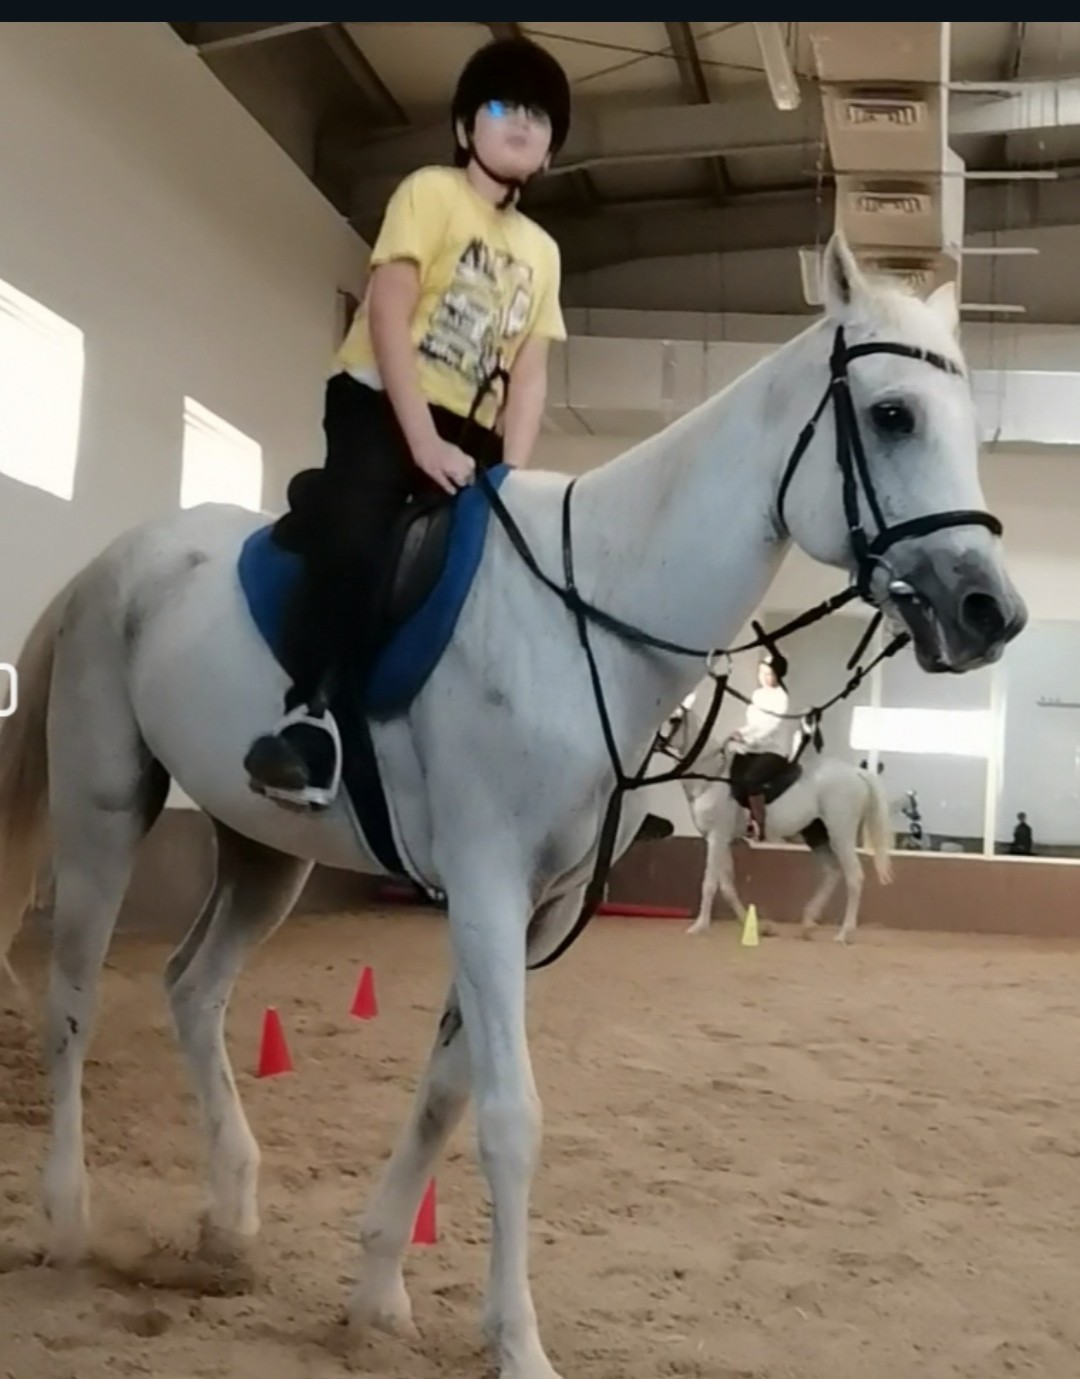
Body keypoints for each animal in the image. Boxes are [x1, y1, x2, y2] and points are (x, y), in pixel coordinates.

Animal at [661, 701, 894, 944]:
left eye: (674, 719)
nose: (657, 742)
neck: (710, 776)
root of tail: (857, 773)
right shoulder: (719, 840)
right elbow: (727, 886)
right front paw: (757, 926)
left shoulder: (717, 837)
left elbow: (709, 883)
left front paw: (699, 926)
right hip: (816, 836)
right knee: (832, 872)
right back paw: (808, 923)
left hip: (841, 835)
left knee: (854, 877)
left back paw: (843, 933)